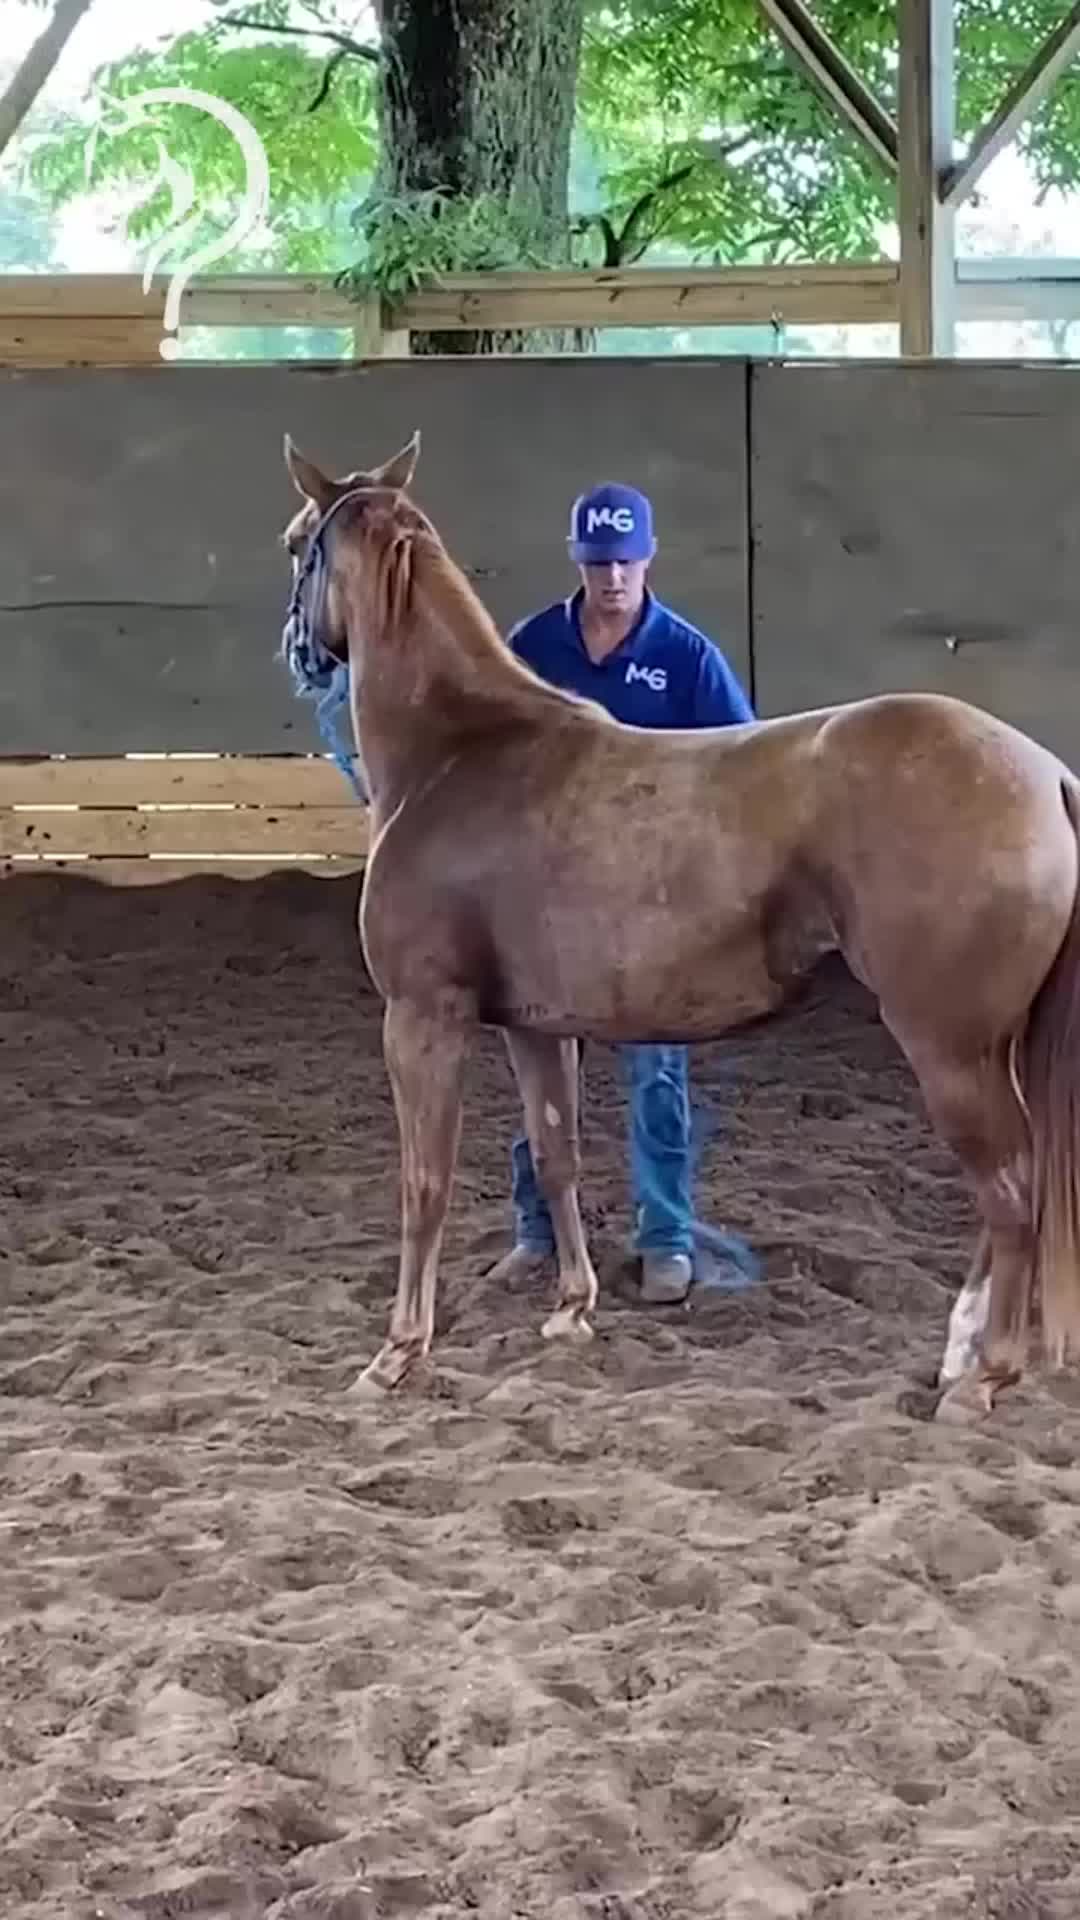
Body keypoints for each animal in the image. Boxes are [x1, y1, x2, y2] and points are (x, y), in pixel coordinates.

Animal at [278, 428, 1080, 1423]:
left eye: (294, 545)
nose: (297, 650)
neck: (459, 754)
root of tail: (1042, 773)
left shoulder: (423, 1020)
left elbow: (422, 1185)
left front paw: (397, 1355)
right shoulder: (535, 1029)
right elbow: (557, 1154)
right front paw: (570, 1310)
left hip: (951, 1050)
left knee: (1012, 1190)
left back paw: (985, 1377)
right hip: (988, 1051)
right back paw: (960, 1351)